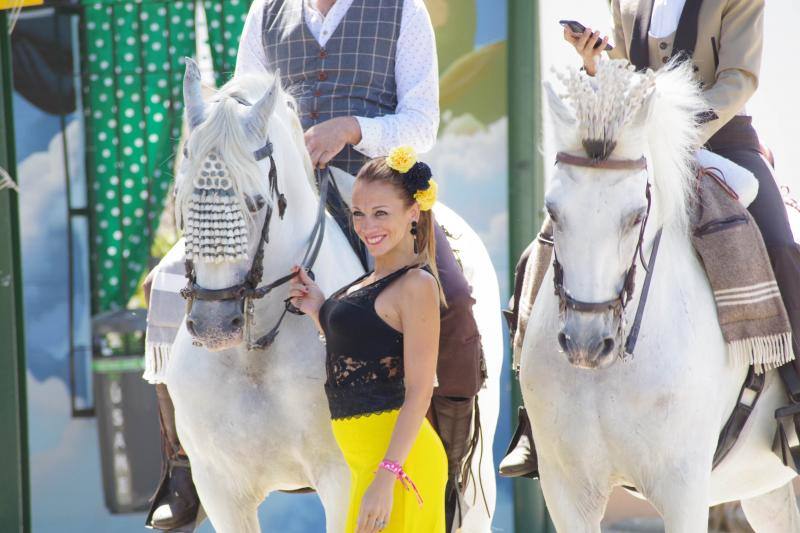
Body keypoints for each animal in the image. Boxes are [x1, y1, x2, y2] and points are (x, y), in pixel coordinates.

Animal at [164, 61, 500, 532]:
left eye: (256, 203)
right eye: (180, 199)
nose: (213, 327)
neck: (255, 352)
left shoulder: (342, 478)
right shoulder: (220, 488)